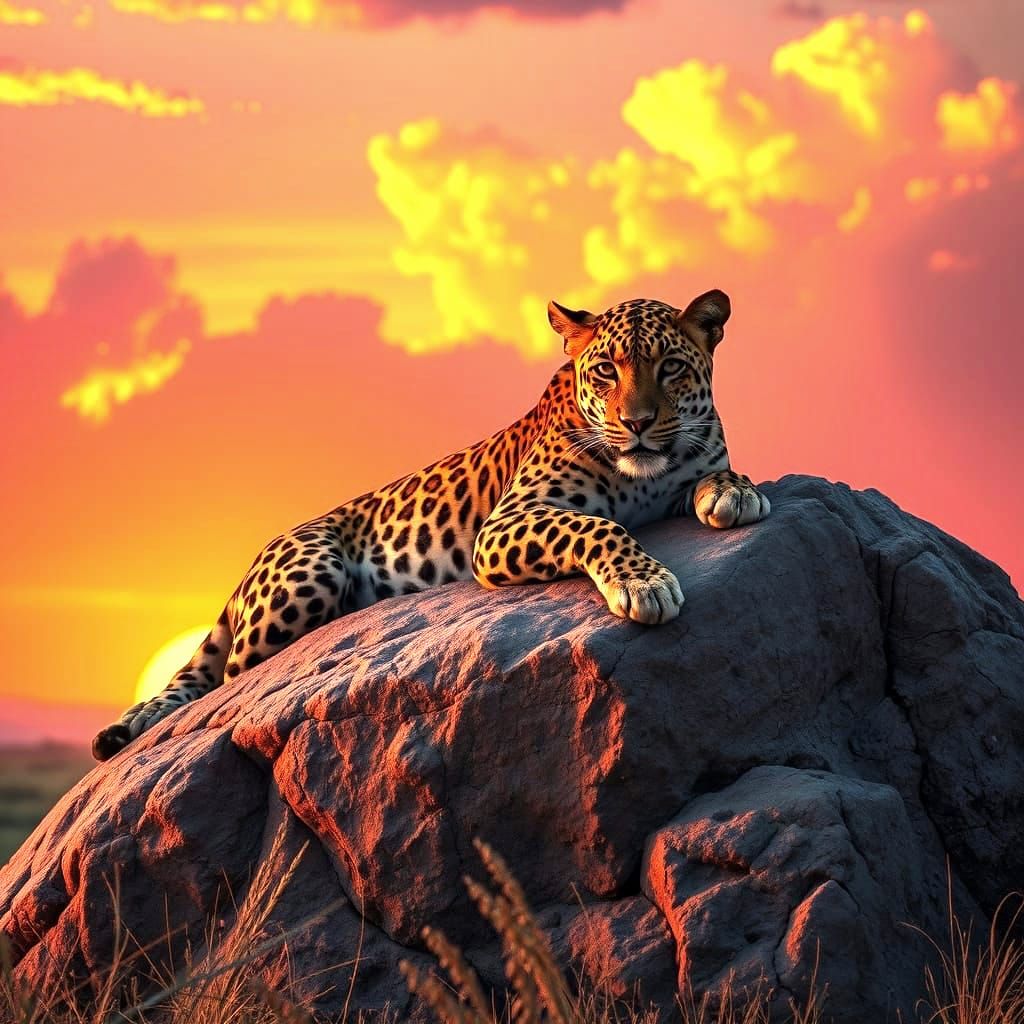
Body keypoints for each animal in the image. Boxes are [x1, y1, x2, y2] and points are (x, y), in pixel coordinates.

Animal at [92, 289, 770, 761]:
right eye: (606, 370)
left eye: (671, 367)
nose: (636, 422)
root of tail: (251, 564)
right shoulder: (506, 524)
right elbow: (596, 527)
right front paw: (644, 583)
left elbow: (719, 473)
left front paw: (735, 493)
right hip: (307, 575)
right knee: (229, 685)